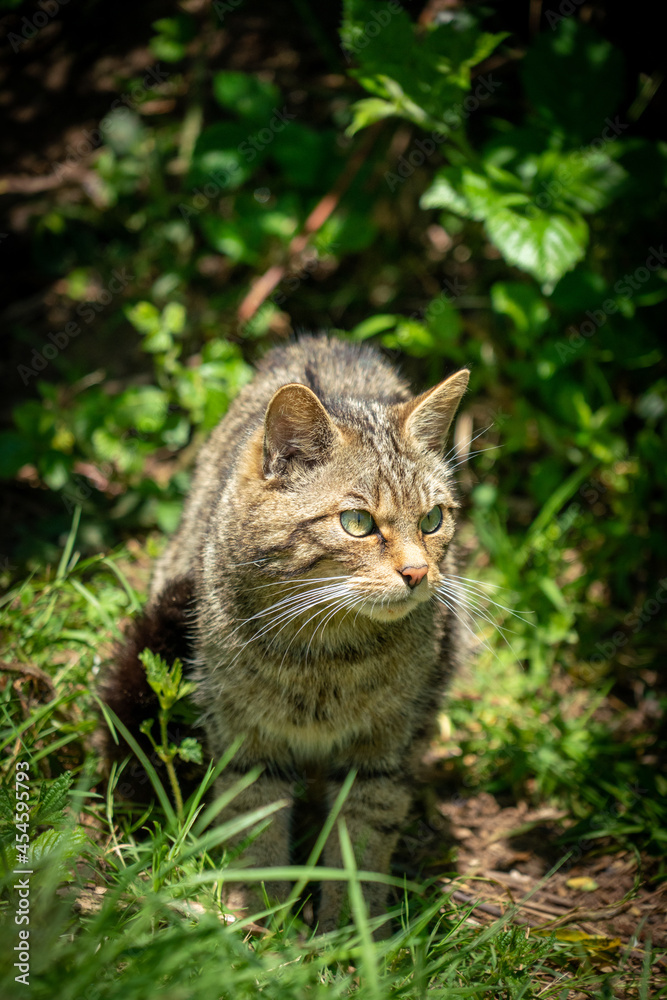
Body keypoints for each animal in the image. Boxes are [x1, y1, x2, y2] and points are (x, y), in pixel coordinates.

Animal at [102, 334, 472, 928]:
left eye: (433, 520)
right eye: (358, 523)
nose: (418, 573)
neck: (326, 654)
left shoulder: (382, 754)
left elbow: (362, 843)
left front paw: (348, 932)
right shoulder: (248, 743)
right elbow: (259, 835)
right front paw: (264, 926)